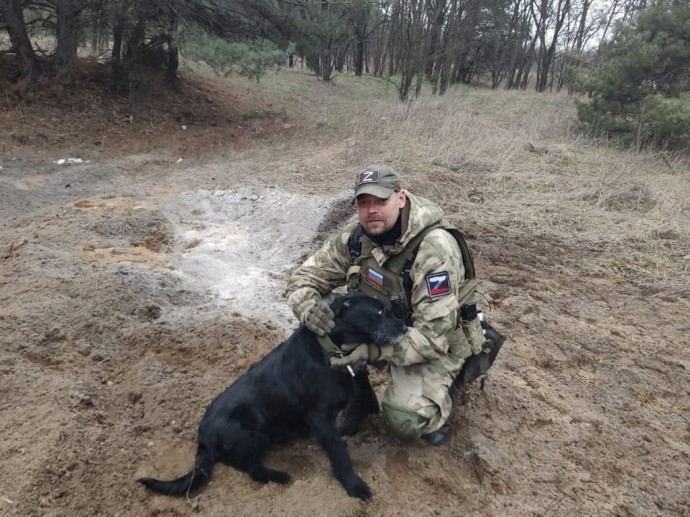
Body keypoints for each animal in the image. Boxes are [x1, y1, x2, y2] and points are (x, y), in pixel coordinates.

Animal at [138, 294, 406, 500]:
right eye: (380, 311)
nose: (405, 328)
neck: (330, 350)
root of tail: (203, 439)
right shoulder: (321, 418)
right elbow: (339, 454)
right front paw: (354, 486)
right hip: (250, 422)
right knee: (252, 469)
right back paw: (278, 475)